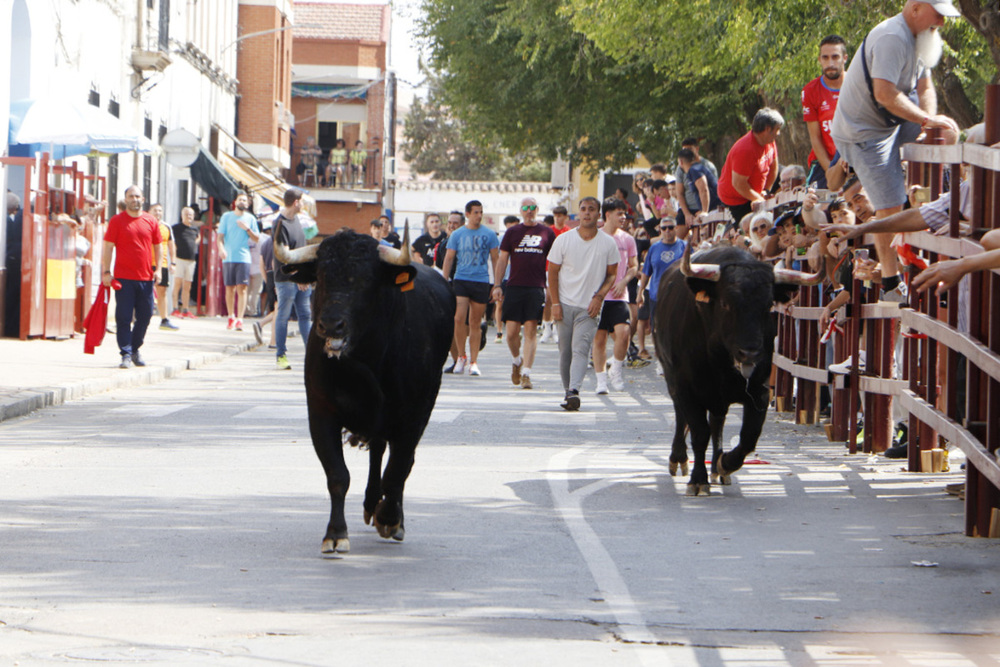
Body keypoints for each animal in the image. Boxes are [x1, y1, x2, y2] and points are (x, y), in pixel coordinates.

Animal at [274, 228, 454, 552]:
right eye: (322, 274)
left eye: (367, 279)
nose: (331, 325)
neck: (361, 362)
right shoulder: (320, 413)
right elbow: (337, 475)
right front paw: (335, 533)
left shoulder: (413, 415)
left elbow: (398, 469)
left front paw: (390, 518)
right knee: (378, 451)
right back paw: (371, 503)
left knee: (399, 462)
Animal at [656, 244, 820, 496]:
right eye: (725, 303)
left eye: (768, 306)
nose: (749, 353)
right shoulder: (687, 388)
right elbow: (699, 433)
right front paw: (698, 480)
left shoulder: (760, 391)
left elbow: (748, 437)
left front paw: (725, 463)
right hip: (673, 380)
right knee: (682, 415)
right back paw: (679, 458)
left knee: (717, 424)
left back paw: (715, 468)